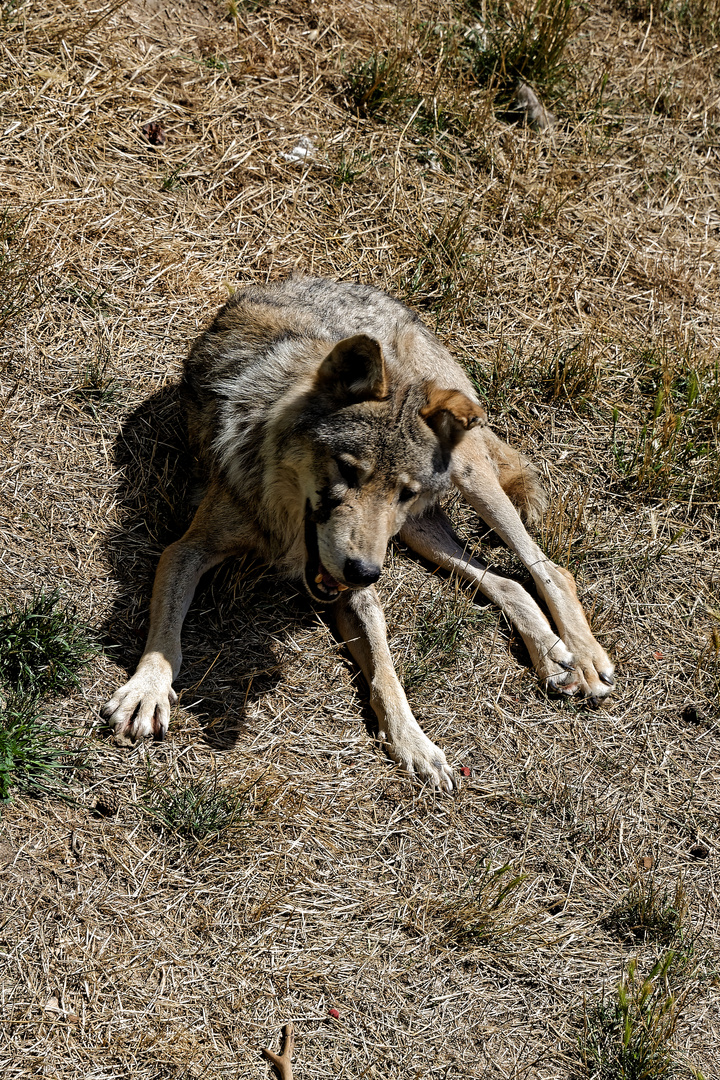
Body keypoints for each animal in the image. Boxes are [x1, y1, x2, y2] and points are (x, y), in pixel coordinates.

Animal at [101, 274, 613, 790]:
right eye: (348, 471)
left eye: (403, 491)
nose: (364, 571)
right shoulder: (185, 550)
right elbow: (166, 635)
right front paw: (146, 692)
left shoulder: (357, 587)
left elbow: (386, 672)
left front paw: (414, 743)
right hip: (415, 534)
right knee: (507, 581)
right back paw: (554, 655)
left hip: (456, 486)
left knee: (549, 567)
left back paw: (583, 657)